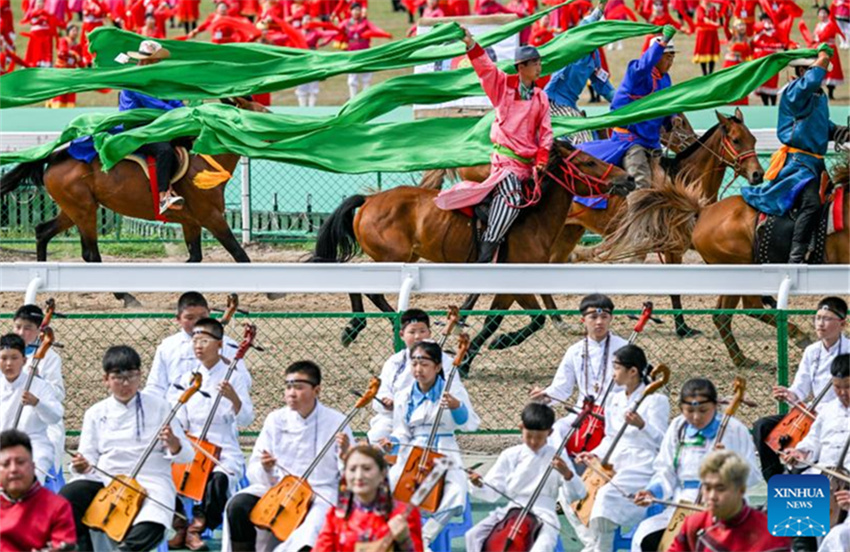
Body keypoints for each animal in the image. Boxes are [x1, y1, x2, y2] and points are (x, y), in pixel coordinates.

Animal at [0, 97, 268, 306]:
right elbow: (239, 254)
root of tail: (57, 155)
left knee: (42, 231)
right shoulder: (211, 217)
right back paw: (126, 296)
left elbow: (195, 259)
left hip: (74, 209)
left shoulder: (191, 222)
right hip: (84, 211)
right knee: (91, 255)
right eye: (262, 115)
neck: (204, 161)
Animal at [308, 142, 632, 376]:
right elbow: (521, 319)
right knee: (367, 288)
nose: (626, 178)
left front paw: (471, 357)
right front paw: (491, 348)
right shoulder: (515, 281)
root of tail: (369, 200)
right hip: (390, 258)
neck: (532, 218)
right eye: (589, 162)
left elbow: (501, 320)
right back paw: (359, 328)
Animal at [596, 160, 848, 366]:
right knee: (749, 308)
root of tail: (703, 212)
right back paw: (796, 336)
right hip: (741, 268)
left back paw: (741, 359)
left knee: (722, 315)